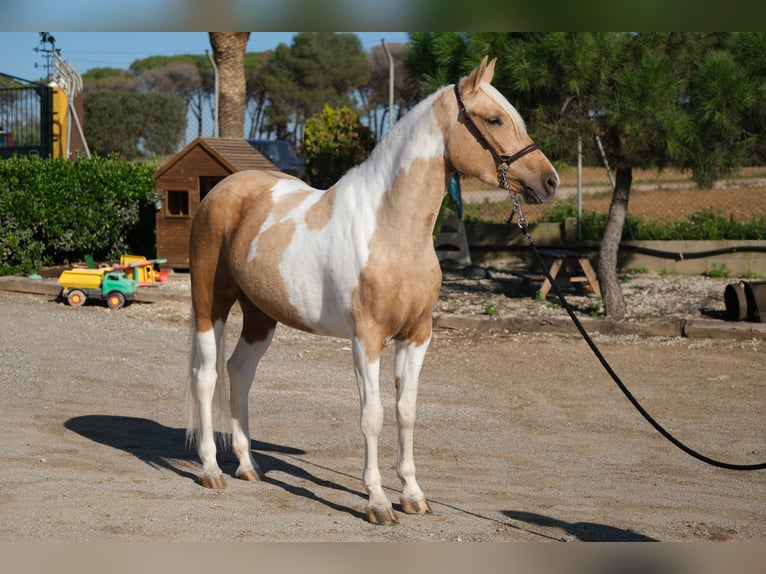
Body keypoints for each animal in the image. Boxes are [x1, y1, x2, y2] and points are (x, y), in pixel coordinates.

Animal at [186, 55, 560, 528]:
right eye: (494, 119)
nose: (550, 182)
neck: (391, 230)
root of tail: (219, 191)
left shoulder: (417, 337)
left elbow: (407, 412)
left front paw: (414, 496)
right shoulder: (367, 339)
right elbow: (373, 416)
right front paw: (378, 502)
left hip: (260, 315)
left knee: (239, 372)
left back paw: (248, 465)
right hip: (210, 302)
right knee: (206, 375)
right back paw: (211, 470)